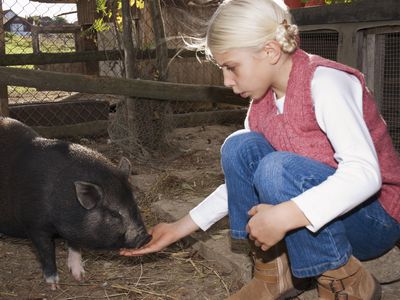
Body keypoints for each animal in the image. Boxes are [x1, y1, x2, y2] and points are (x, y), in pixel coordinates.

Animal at [0, 116, 152, 288]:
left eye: (134, 203)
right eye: (114, 213)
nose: (146, 237)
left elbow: (74, 245)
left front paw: (80, 276)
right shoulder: (34, 225)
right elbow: (46, 251)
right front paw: (54, 285)